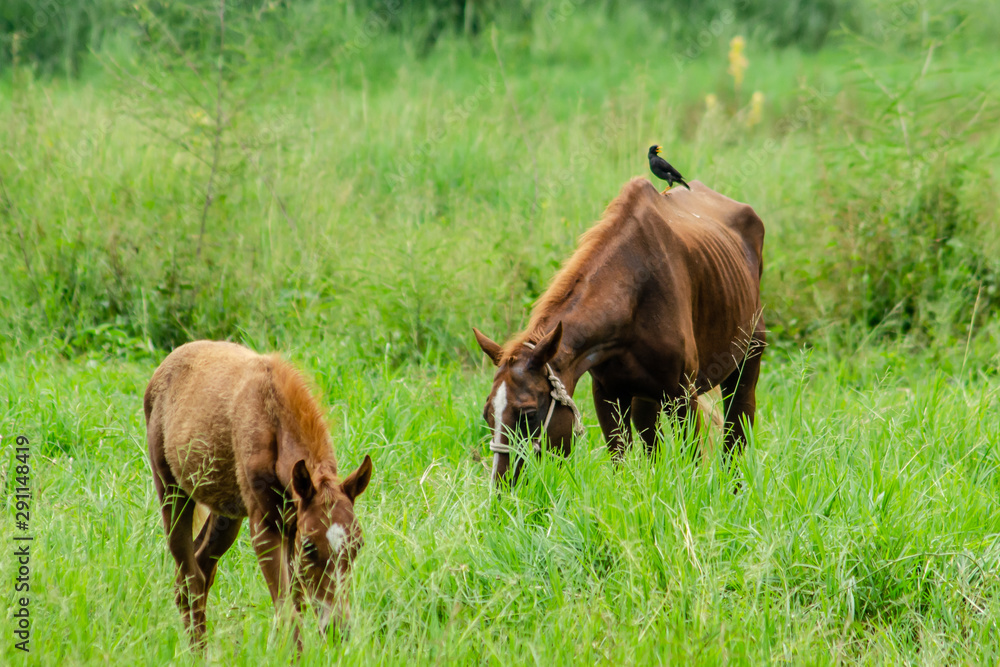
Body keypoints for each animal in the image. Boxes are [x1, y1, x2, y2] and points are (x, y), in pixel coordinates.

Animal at [144, 340, 373, 647]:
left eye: (358, 545)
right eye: (311, 547)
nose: (339, 630)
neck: (272, 420)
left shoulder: (292, 526)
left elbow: (296, 604)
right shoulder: (266, 528)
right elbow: (288, 612)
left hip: (226, 514)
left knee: (199, 572)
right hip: (171, 491)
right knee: (189, 580)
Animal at [474, 177, 765, 485]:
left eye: (528, 413)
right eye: (487, 413)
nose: (501, 484)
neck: (634, 297)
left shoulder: (684, 396)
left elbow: (693, 460)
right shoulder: (608, 395)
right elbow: (621, 459)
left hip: (746, 366)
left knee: (735, 440)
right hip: (646, 399)